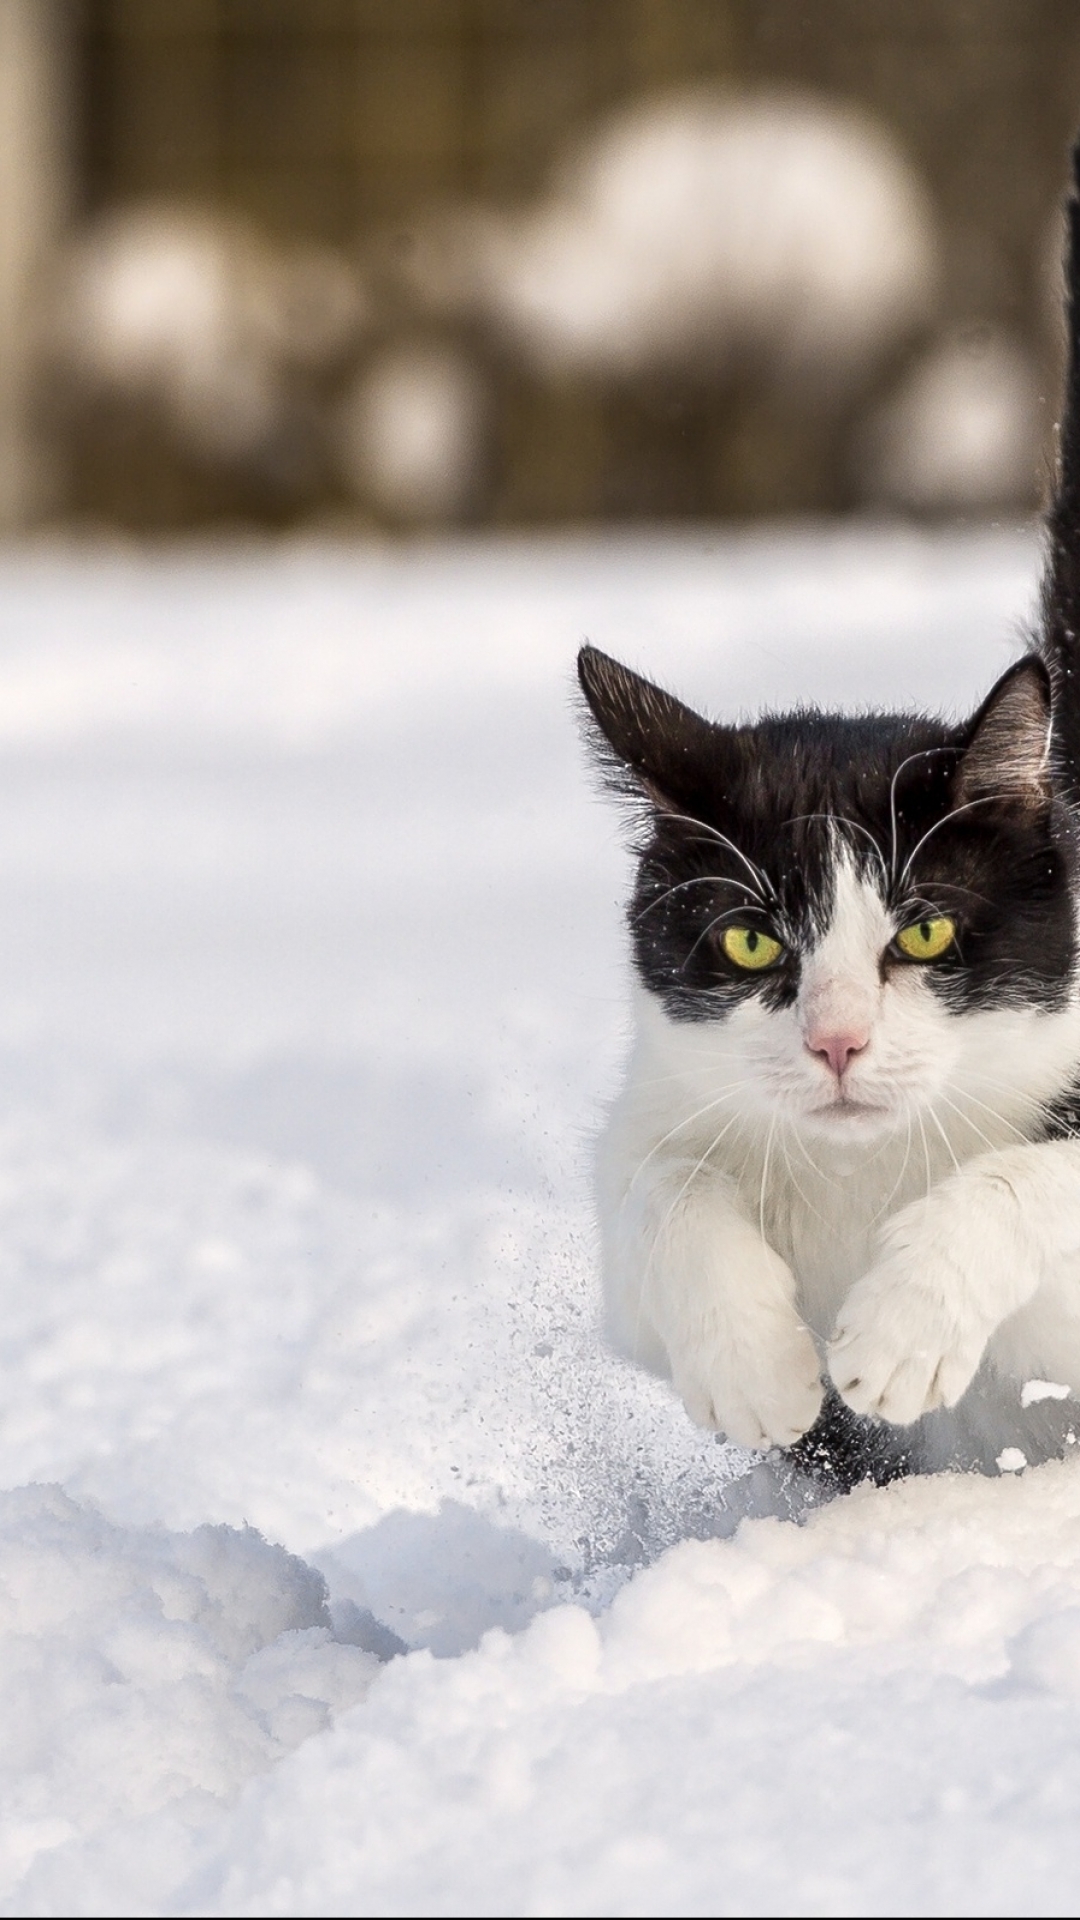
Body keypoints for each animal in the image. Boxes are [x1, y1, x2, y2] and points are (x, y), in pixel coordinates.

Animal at [576, 142, 1080, 1489]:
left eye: (925, 932)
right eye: (753, 940)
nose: (838, 1043)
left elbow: (1025, 1176)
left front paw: (902, 1331)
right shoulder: (654, 1119)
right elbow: (661, 1196)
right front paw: (756, 1367)